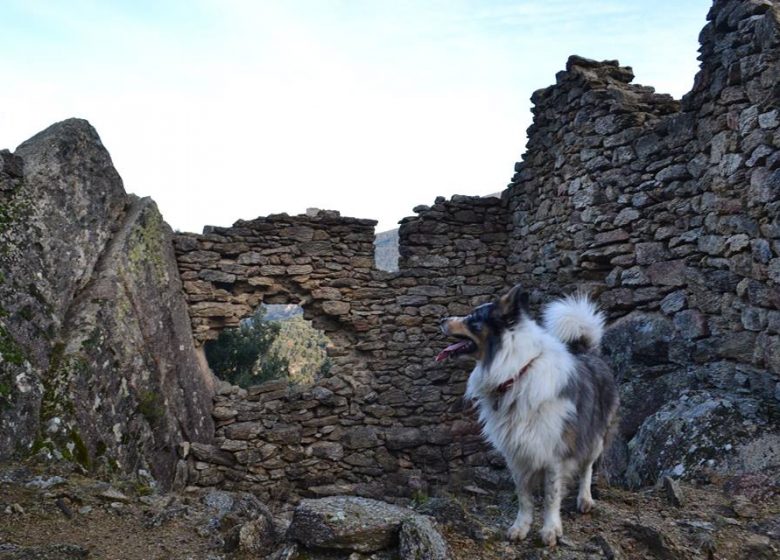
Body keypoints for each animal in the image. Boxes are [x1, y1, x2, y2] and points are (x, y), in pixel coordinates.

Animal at [436, 284, 620, 548]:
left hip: (595, 434)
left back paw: (585, 499)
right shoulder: (516, 452)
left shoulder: (555, 452)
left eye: (473, 319)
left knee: (587, 466)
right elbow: (524, 495)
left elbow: (552, 496)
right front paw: (520, 527)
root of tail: (587, 352)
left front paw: (551, 530)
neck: (516, 372)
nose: (440, 319)